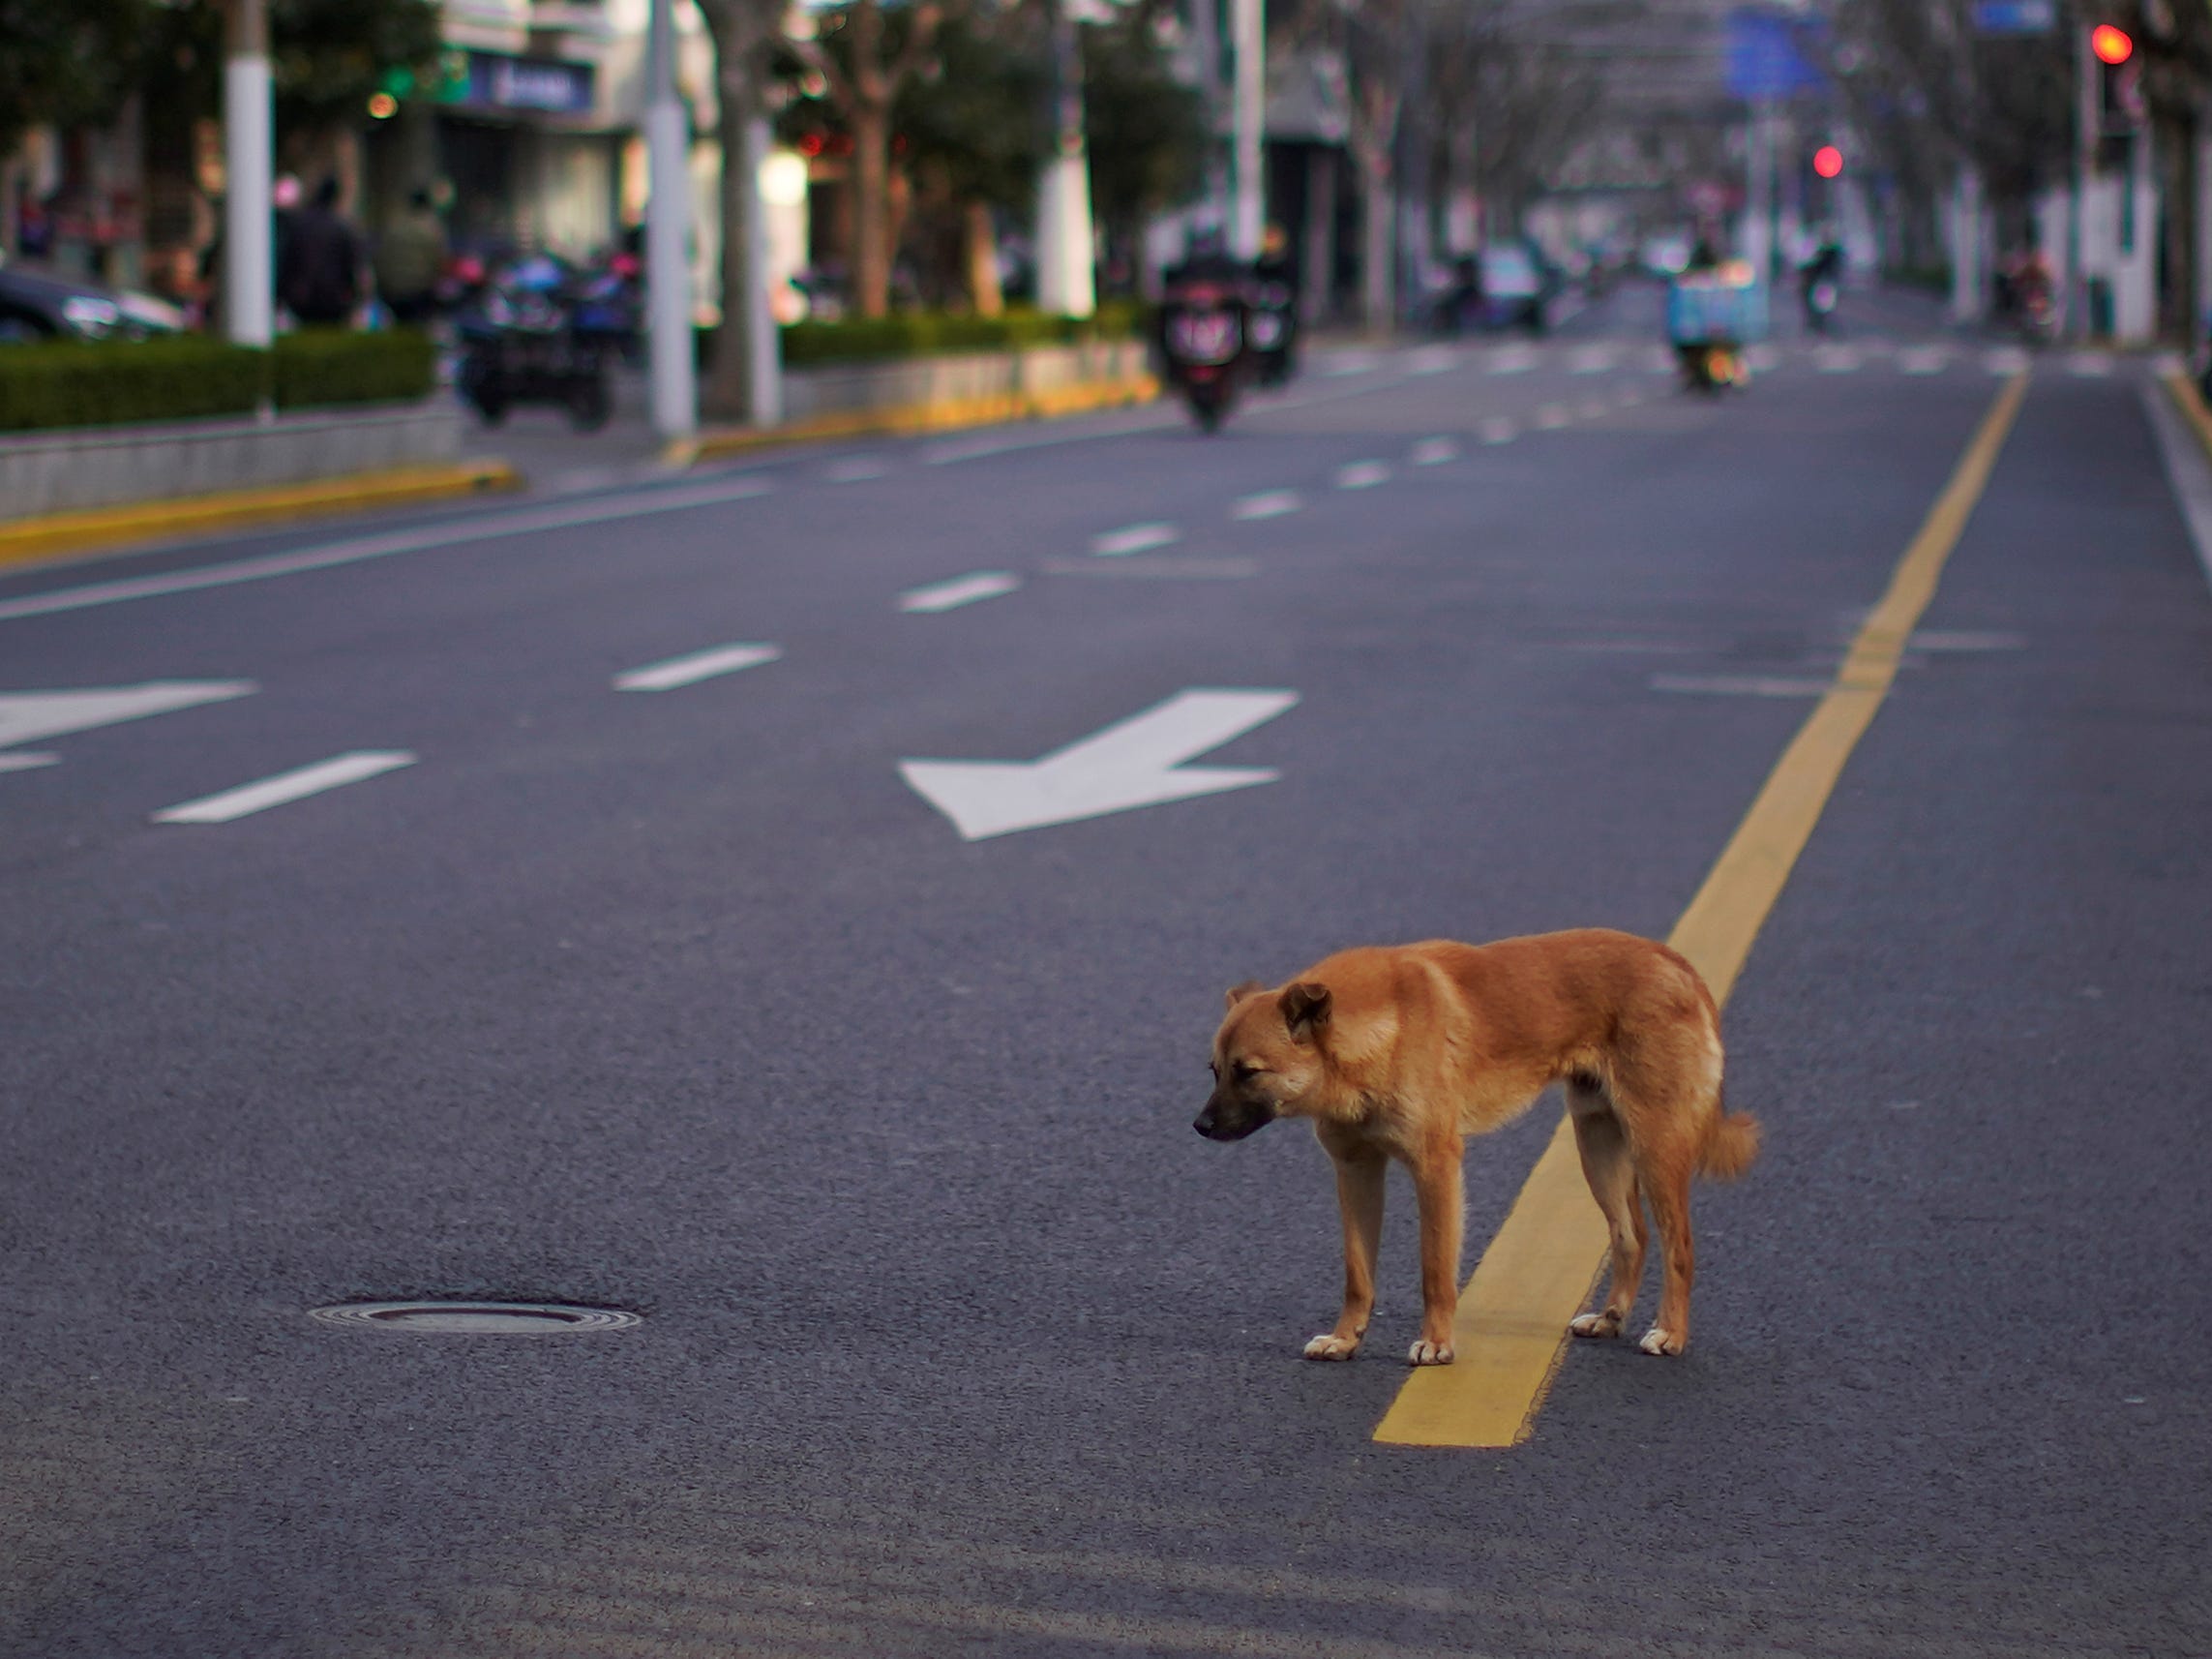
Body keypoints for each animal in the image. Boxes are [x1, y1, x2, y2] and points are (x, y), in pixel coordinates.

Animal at [1203, 928, 1751, 1371]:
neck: (1379, 1031)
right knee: (1631, 1234)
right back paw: (1611, 1317)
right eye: (1214, 1071)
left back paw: (1671, 1333)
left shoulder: (1436, 1169)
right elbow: (1357, 1275)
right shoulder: (1356, 1172)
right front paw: (1345, 1340)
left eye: (1247, 1072)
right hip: (1597, 1148)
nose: (1199, 1126)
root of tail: (1675, 962)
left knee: (1679, 1247)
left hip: (1655, 1149)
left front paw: (1436, 1344)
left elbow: (1435, 1270)